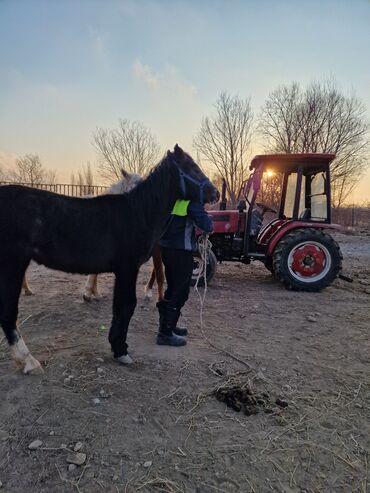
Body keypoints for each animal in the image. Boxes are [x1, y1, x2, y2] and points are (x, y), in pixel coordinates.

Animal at [0, 145, 218, 372]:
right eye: (192, 167)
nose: (216, 192)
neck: (138, 212)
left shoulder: (122, 271)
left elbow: (119, 307)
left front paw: (116, 345)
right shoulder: (128, 268)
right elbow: (127, 305)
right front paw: (121, 351)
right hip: (12, 265)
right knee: (8, 312)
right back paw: (28, 360)